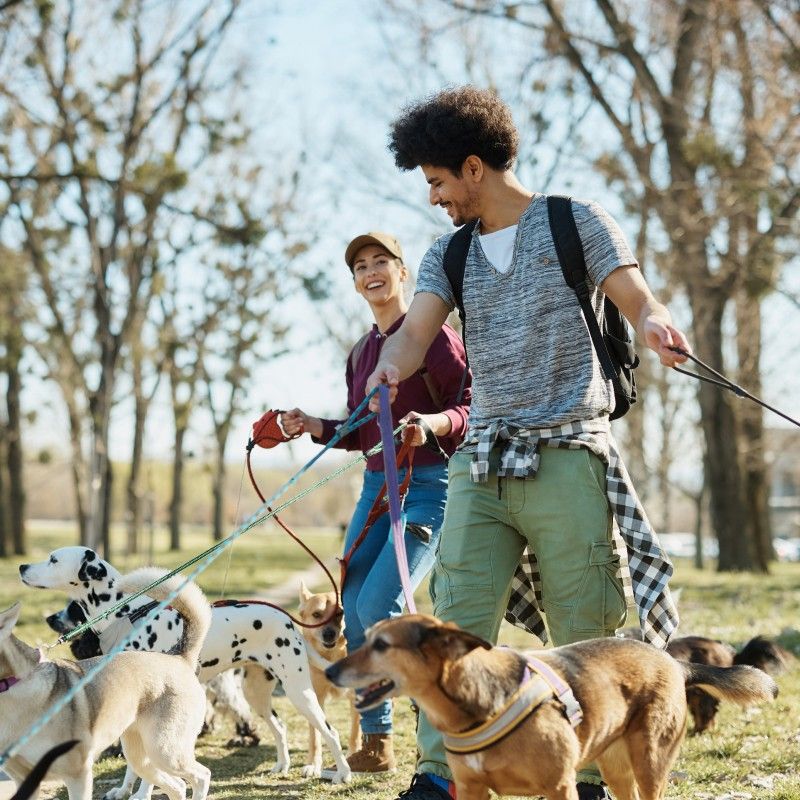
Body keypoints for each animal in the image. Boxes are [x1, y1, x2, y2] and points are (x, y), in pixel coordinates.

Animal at [18, 548, 350, 792]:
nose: (21, 566)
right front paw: (124, 791)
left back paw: (342, 774)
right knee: (279, 727)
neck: (125, 613)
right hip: (257, 694)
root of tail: (287, 619)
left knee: (330, 730)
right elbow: (134, 763)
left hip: (299, 692)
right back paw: (282, 765)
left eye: (53, 559)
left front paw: (141, 794)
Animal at [296, 580, 362, 776]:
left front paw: (353, 755)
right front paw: (313, 764)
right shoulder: (315, 696)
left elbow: (355, 732)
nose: (329, 634)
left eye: (340, 613)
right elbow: (315, 737)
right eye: (316, 614)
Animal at [324, 616, 776, 796]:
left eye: (382, 646)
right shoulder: (471, 789)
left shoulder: (560, 786)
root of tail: (673, 661)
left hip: (650, 762)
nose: (329, 670)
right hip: (617, 767)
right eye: (366, 639)